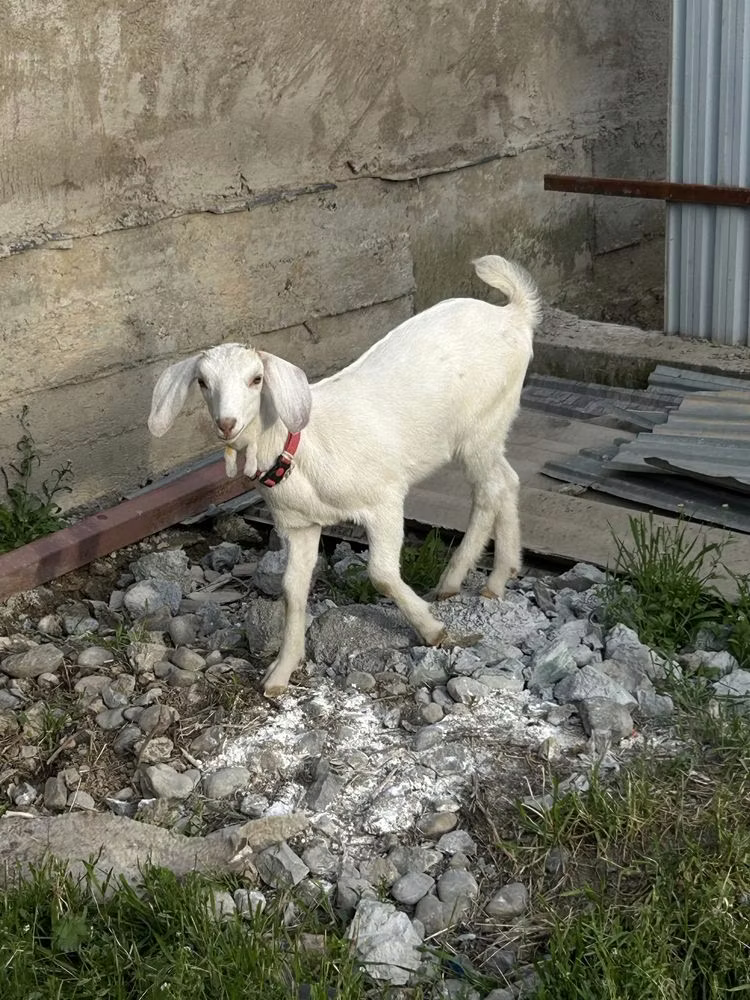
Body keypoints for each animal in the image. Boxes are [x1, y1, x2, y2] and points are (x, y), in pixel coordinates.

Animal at [148, 254, 541, 696]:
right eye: (202, 382)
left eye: (256, 379)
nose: (227, 423)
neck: (301, 446)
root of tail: (515, 313)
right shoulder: (299, 525)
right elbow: (292, 590)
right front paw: (280, 673)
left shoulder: (383, 499)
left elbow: (382, 574)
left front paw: (432, 629)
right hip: (488, 433)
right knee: (507, 481)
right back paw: (496, 575)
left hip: (481, 427)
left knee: (492, 488)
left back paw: (467, 578)